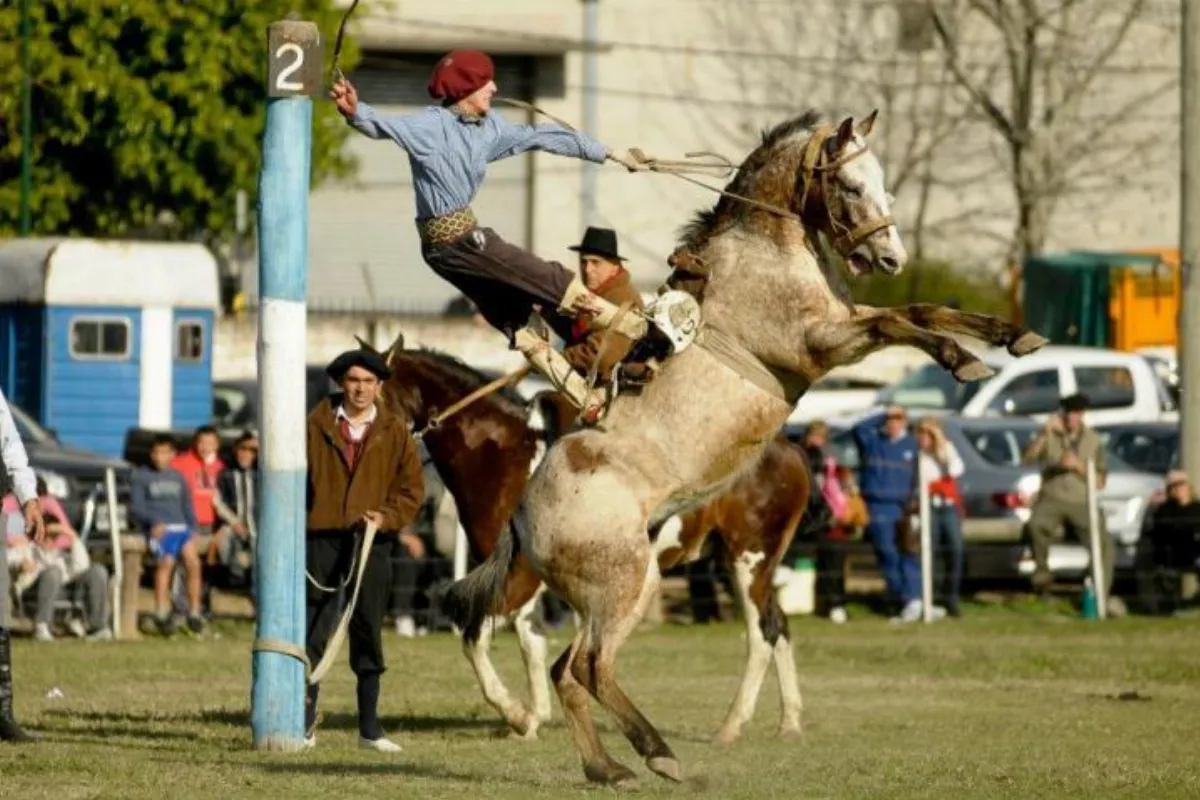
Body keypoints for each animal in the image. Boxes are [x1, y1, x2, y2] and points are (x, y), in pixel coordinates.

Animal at [446, 107, 1046, 786]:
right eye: (850, 186)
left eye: (884, 186)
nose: (892, 256)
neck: (766, 253)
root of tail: (523, 515)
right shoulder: (822, 342)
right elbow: (901, 321)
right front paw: (963, 359)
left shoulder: (843, 324)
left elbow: (923, 309)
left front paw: (1010, 337)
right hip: (623, 583)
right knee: (591, 666)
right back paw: (659, 753)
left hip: (629, 588)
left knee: (573, 672)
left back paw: (611, 767)